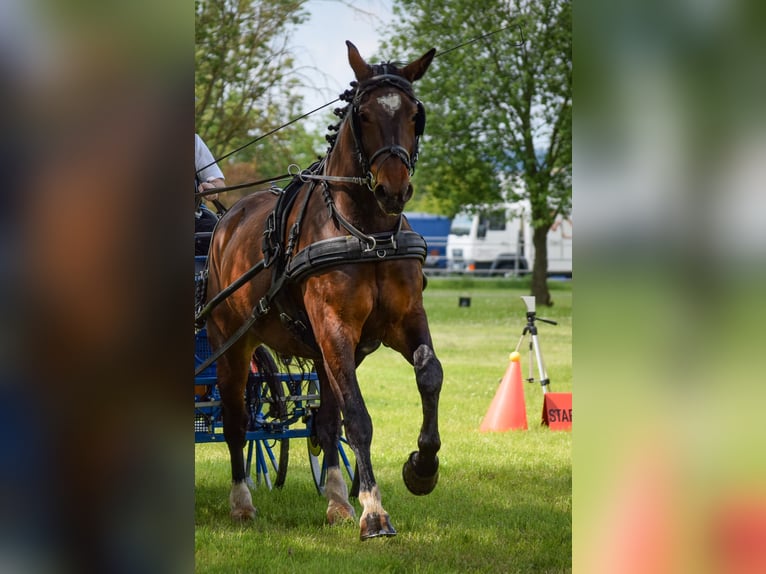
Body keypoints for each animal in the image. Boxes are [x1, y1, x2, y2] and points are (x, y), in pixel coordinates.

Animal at [206, 42, 444, 544]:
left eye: (415, 115)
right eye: (365, 115)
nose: (394, 190)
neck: (369, 233)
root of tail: (227, 218)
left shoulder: (404, 320)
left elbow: (428, 375)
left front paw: (421, 468)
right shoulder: (335, 327)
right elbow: (358, 416)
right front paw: (374, 511)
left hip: (319, 349)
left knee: (326, 419)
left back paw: (337, 500)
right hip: (230, 341)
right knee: (237, 420)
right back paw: (242, 501)